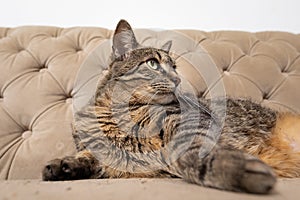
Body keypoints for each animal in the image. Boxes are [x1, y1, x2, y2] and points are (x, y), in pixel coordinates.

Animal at [41, 19, 300, 194]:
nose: (177, 79)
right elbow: (89, 157)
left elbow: (192, 153)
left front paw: (234, 169)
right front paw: (62, 166)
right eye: (153, 64)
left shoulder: (188, 123)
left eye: (174, 67)